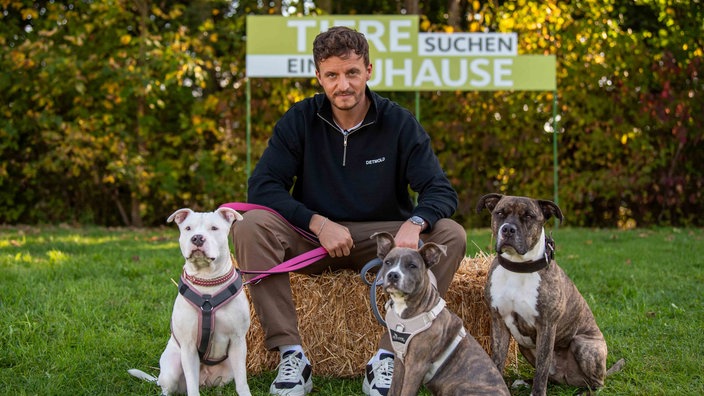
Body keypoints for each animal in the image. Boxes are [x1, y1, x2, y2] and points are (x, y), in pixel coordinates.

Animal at [128, 207, 252, 396]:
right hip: (172, 367)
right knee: (167, 388)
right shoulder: (188, 346)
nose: (197, 238)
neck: (207, 282)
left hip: (228, 369)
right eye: (188, 228)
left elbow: (242, 382)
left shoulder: (238, 342)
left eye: (214, 228)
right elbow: (192, 385)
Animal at [372, 232, 508, 396]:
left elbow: (406, 391)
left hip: (459, 387)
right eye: (388, 262)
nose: (393, 275)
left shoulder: (416, 365)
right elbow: (394, 389)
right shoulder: (400, 360)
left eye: (412, 266)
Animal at [476, 193, 624, 394]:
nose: (508, 229)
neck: (518, 266)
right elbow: (497, 360)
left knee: (596, 383)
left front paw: (537, 392)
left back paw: (585, 391)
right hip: (524, 347)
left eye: (529, 216)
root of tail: (567, 378)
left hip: (584, 345)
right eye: (500, 213)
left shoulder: (546, 325)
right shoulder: (498, 322)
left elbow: (542, 369)